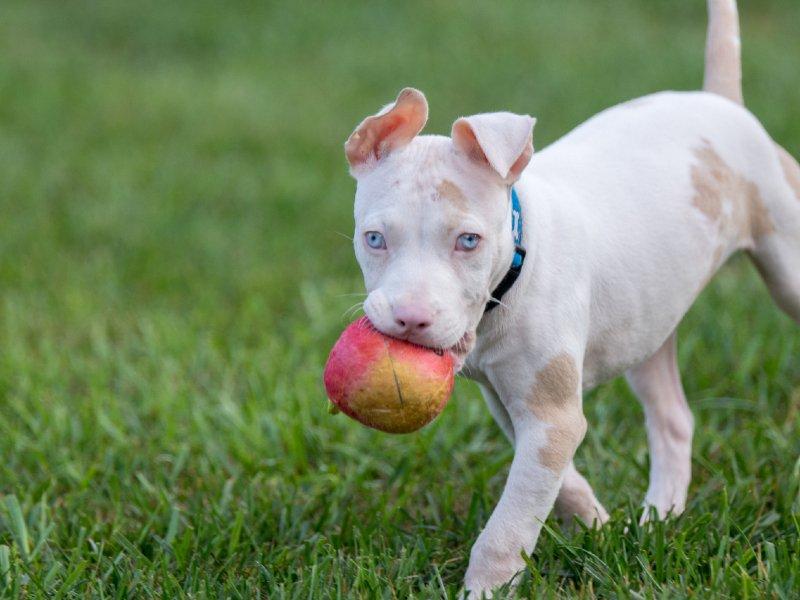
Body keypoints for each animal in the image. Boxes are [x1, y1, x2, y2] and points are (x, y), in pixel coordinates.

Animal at [340, 0, 796, 596]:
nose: (409, 320)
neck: (513, 271)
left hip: (786, 256)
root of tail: (720, 102)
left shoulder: (548, 416)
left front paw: (483, 588)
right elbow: (551, 484)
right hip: (647, 319)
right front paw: (601, 529)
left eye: (469, 241)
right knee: (673, 419)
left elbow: (508, 525)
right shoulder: (514, 404)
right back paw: (657, 520)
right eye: (374, 239)